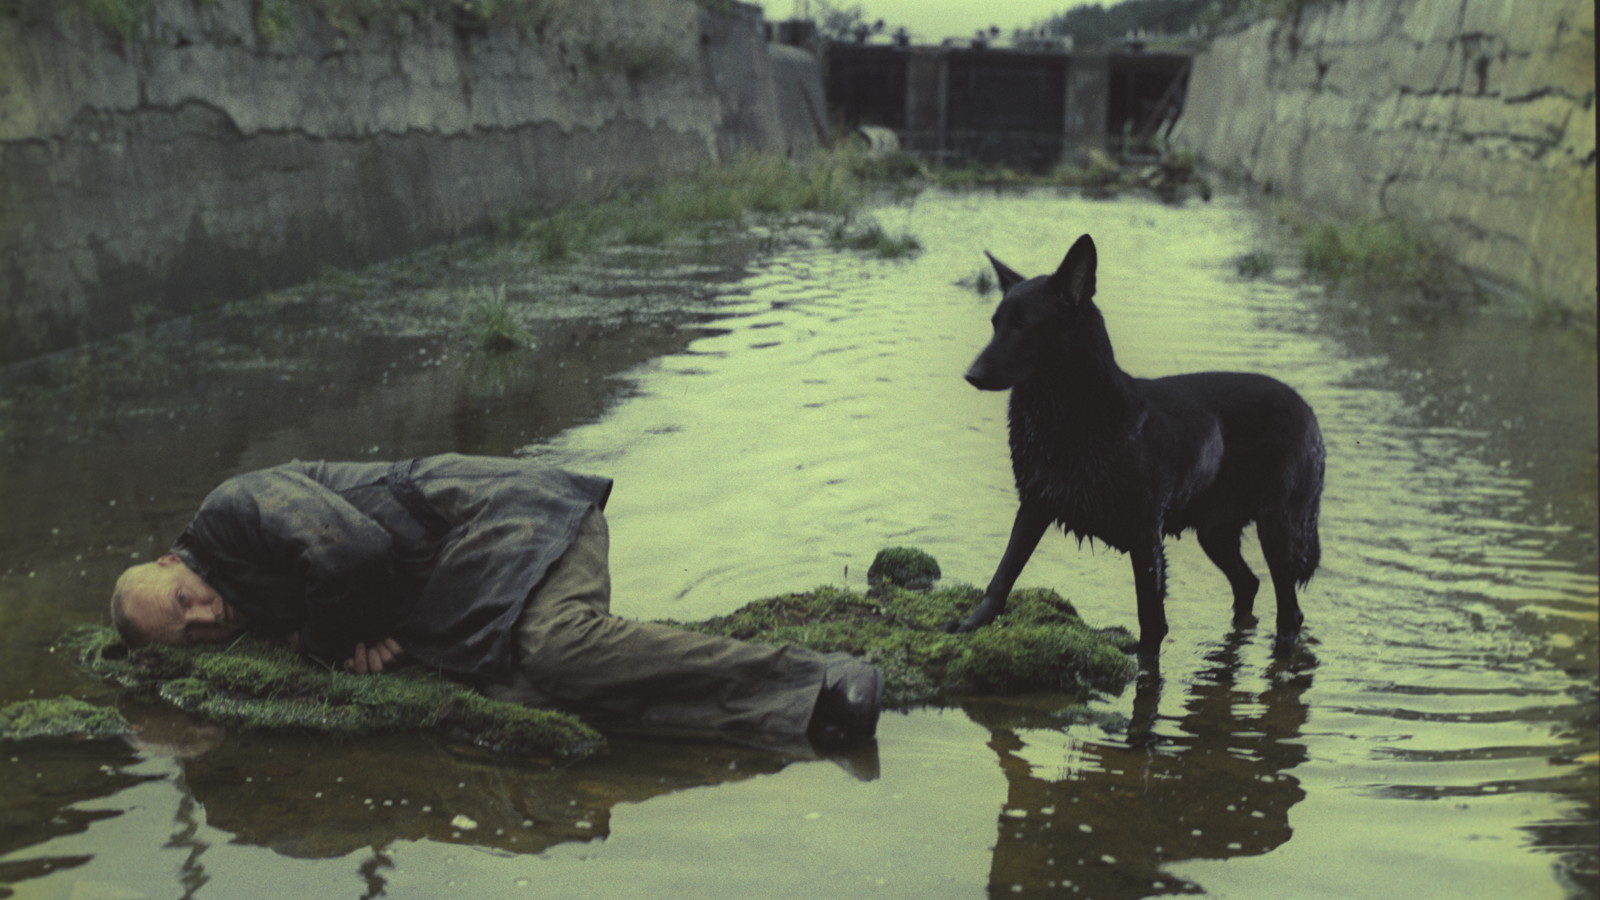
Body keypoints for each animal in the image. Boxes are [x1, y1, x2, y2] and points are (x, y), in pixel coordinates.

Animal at [953, 230, 1318, 656]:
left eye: (1024, 326)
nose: (972, 375)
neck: (1069, 415)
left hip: (1277, 529)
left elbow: (1151, 622)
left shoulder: (1145, 536)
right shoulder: (1034, 506)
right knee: (1249, 584)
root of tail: (1306, 408)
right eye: (995, 324)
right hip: (1215, 533)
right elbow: (1003, 575)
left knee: (1289, 612)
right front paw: (969, 625)